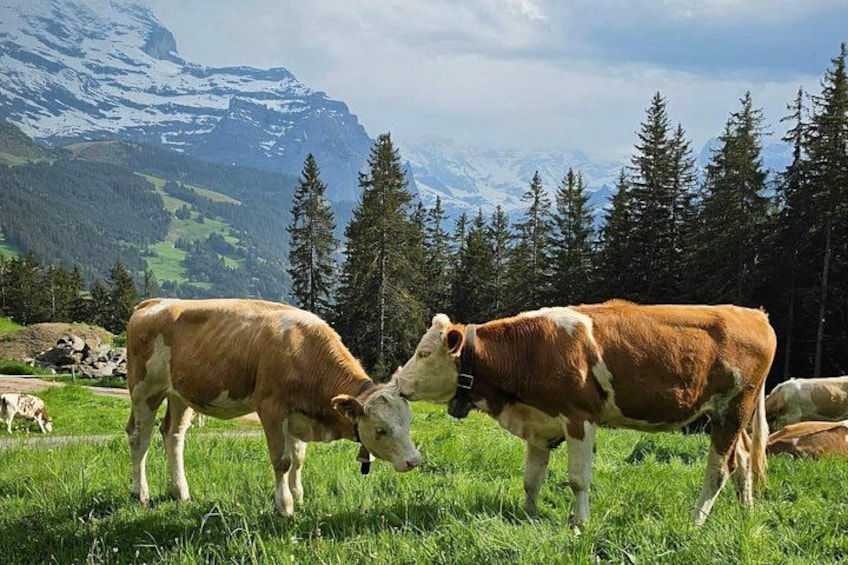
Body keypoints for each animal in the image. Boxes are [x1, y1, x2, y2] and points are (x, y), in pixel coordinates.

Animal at [126, 298, 421, 515]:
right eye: (380, 429)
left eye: (408, 422)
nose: (414, 460)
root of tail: (154, 302)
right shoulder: (271, 408)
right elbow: (283, 461)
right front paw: (285, 506)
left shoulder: (296, 416)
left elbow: (299, 460)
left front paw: (299, 497)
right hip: (145, 390)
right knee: (139, 437)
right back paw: (141, 494)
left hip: (180, 395)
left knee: (173, 434)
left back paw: (181, 493)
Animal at [392, 301, 776, 527]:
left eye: (424, 353)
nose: (398, 382)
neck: (529, 351)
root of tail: (754, 313)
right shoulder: (539, 424)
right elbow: (531, 479)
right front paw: (528, 516)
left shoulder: (580, 418)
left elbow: (578, 479)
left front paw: (580, 523)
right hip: (730, 414)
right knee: (743, 459)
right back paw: (747, 511)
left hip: (733, 407)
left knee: (719, 469)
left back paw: (695, 521)